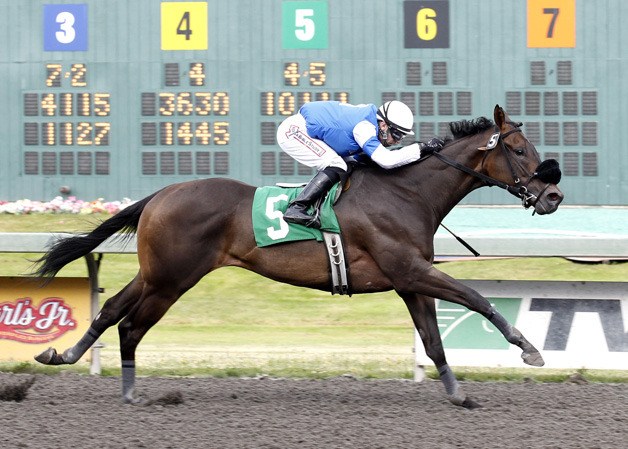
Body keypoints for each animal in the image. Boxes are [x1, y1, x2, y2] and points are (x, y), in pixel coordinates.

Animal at [33, 105, 564, 406]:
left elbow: (433, 341)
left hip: (158, 273)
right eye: (519, 149)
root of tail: (161, 194)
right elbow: (476, 298)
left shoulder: (409, 280)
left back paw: (69, 357)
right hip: (171, 278)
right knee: (129, 324)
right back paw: (121, 388)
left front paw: (458, 394)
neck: (406, 192)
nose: (553, 196)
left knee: (112, 310)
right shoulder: (411, 270)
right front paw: (528, 347)